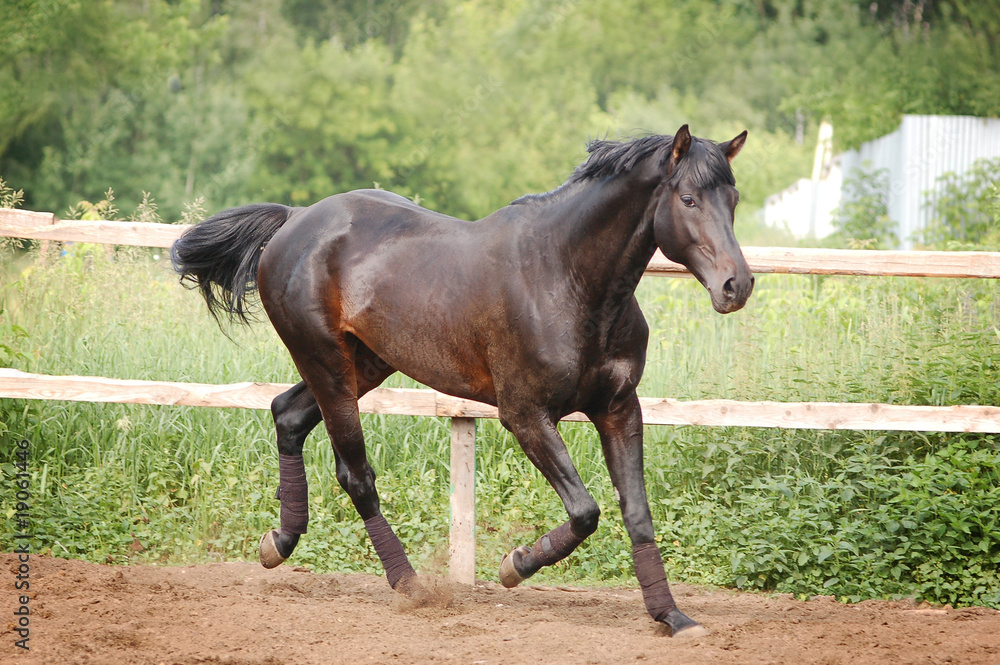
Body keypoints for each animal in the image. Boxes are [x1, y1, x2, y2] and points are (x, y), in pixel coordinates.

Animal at [170, 125, 753, 637]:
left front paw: (672, 617)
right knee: (355, 473)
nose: (737, 285)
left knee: (287, 415)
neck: (565, 277)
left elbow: (637, 514)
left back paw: (280, 541)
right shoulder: (525, 415)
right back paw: (409, 586)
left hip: (366, 364)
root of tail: (295, 220)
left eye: (733, 197)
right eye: (688, 198)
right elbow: (586, 511)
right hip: (325, 363)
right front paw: (515, 564)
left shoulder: (619, 409)